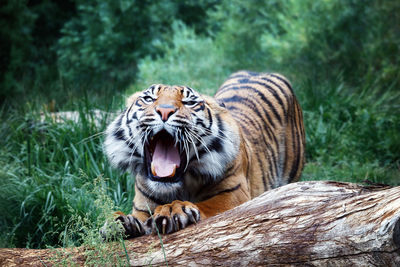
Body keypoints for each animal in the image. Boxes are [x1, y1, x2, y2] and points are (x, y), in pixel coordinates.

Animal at [101, 70, 306, 239]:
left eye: (189, 102)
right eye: (149, 99)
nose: (165, 111)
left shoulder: (233, 194)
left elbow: (207, 204)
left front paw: (172, 210)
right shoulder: (142, 206)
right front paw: (119, 222)